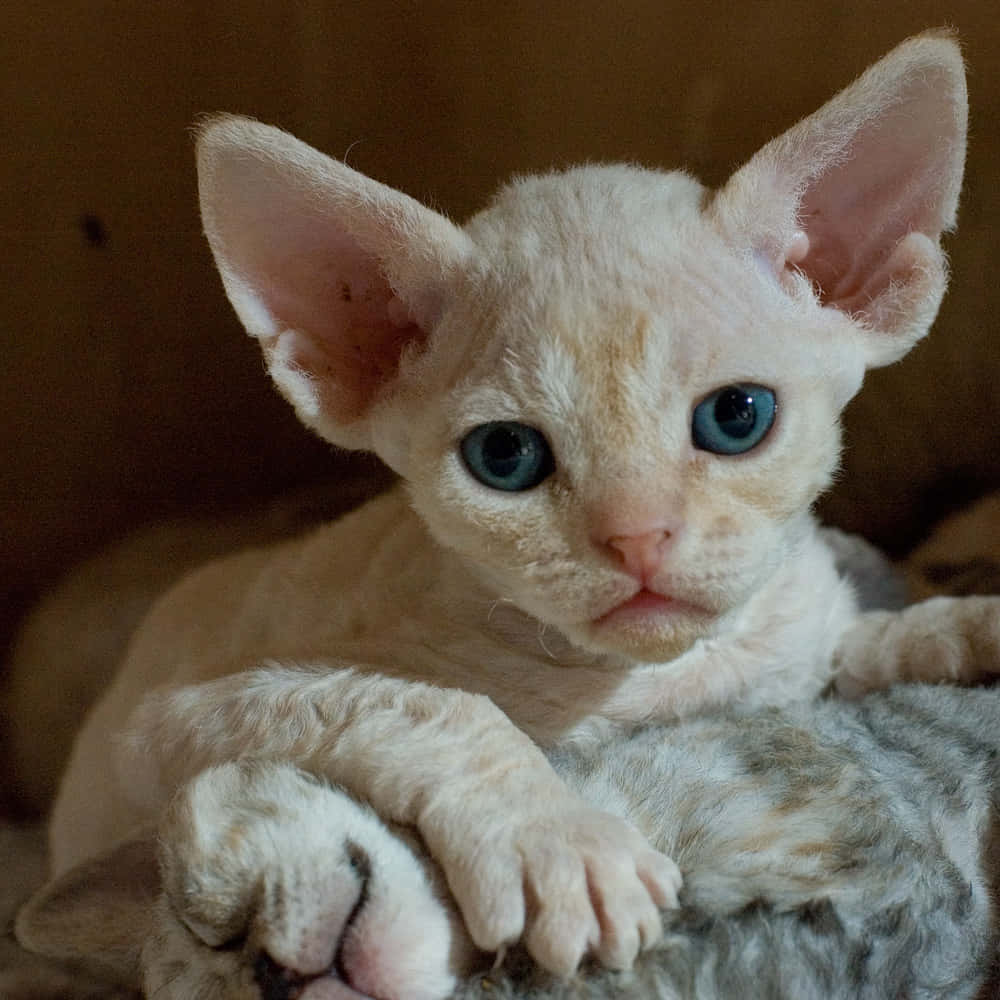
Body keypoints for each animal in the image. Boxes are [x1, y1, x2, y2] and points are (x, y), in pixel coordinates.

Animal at [45, 29, 976, 984]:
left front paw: (954, 627)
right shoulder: (167, 720)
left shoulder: (791, 639)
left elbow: (848, 639)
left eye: (735, 416)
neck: (659, 683)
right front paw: (558, 843)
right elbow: (417, 702)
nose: (638, 538)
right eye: (506, 457)